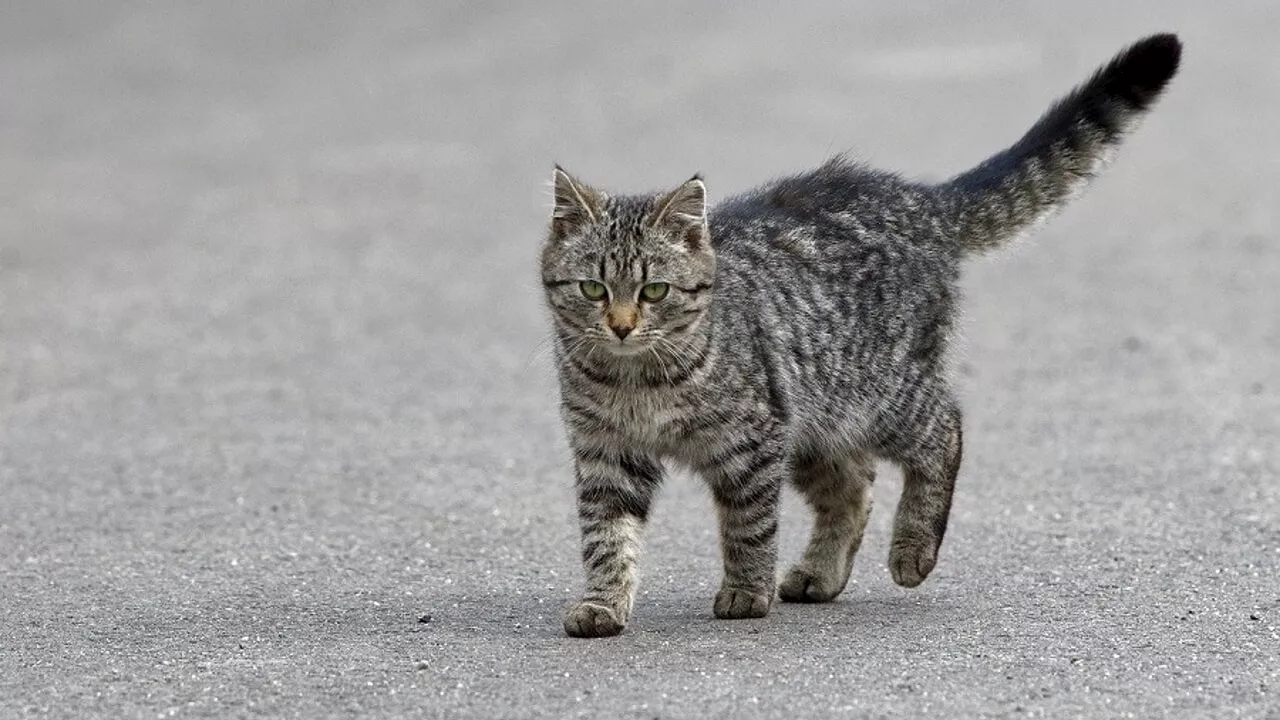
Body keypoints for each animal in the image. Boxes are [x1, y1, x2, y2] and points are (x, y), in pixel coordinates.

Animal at [537, 36, 1177, 635]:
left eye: (654, 291)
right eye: (593, 289)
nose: (621, 326)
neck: (635, 379)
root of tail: (922, 199)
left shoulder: (753, 441)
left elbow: (748, 526)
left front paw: (745, 590)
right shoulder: (606, 453)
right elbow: (606, 537)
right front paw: (603, 603)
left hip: (879, 395)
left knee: (944, 430)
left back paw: (913, 550)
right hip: (817, 419)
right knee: (854, 486)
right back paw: (821, 574)